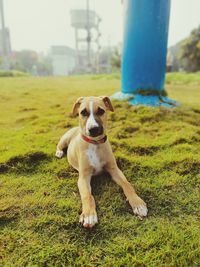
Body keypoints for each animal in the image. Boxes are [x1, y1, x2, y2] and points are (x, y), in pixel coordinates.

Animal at [55, 96, 148, 228]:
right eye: (83, 112)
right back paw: (58, 152)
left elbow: (127, 184)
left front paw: (138, 204)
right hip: (65, 139)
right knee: (59, 145)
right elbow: (87, 195)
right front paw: (89, 215)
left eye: (101, 111)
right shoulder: (83, 177)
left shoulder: (114, 169)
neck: (95, 144)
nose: (93, 129)